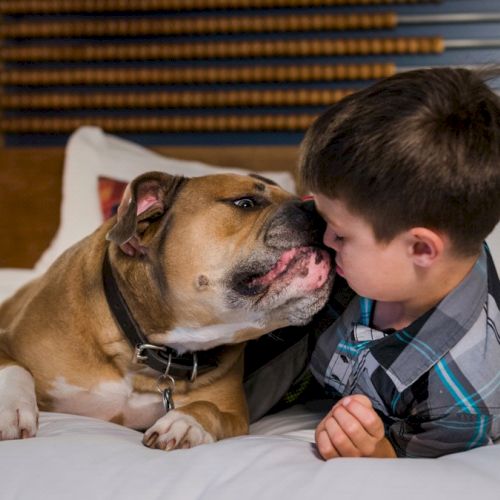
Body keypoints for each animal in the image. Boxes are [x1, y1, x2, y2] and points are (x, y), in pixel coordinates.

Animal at [0, 172, 336, 450]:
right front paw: (13, 411)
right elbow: (15, 367)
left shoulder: (236, 415)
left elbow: (210, 409)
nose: (317, 210)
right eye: (245, 203)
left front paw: (186, 422)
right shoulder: (8, 339)